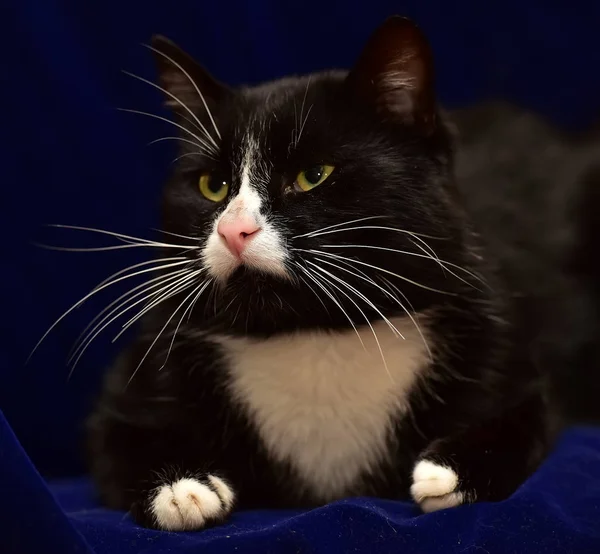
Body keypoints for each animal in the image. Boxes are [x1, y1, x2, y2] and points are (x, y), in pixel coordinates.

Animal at [82, 15, 596, 528]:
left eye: (313, 174)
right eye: (213, 185)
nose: (233, 230)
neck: (314, 334)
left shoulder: (502, 343)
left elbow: (533, 413)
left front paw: (450, 470)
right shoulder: (140, 376)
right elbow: (117, 432)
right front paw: (181, 485)